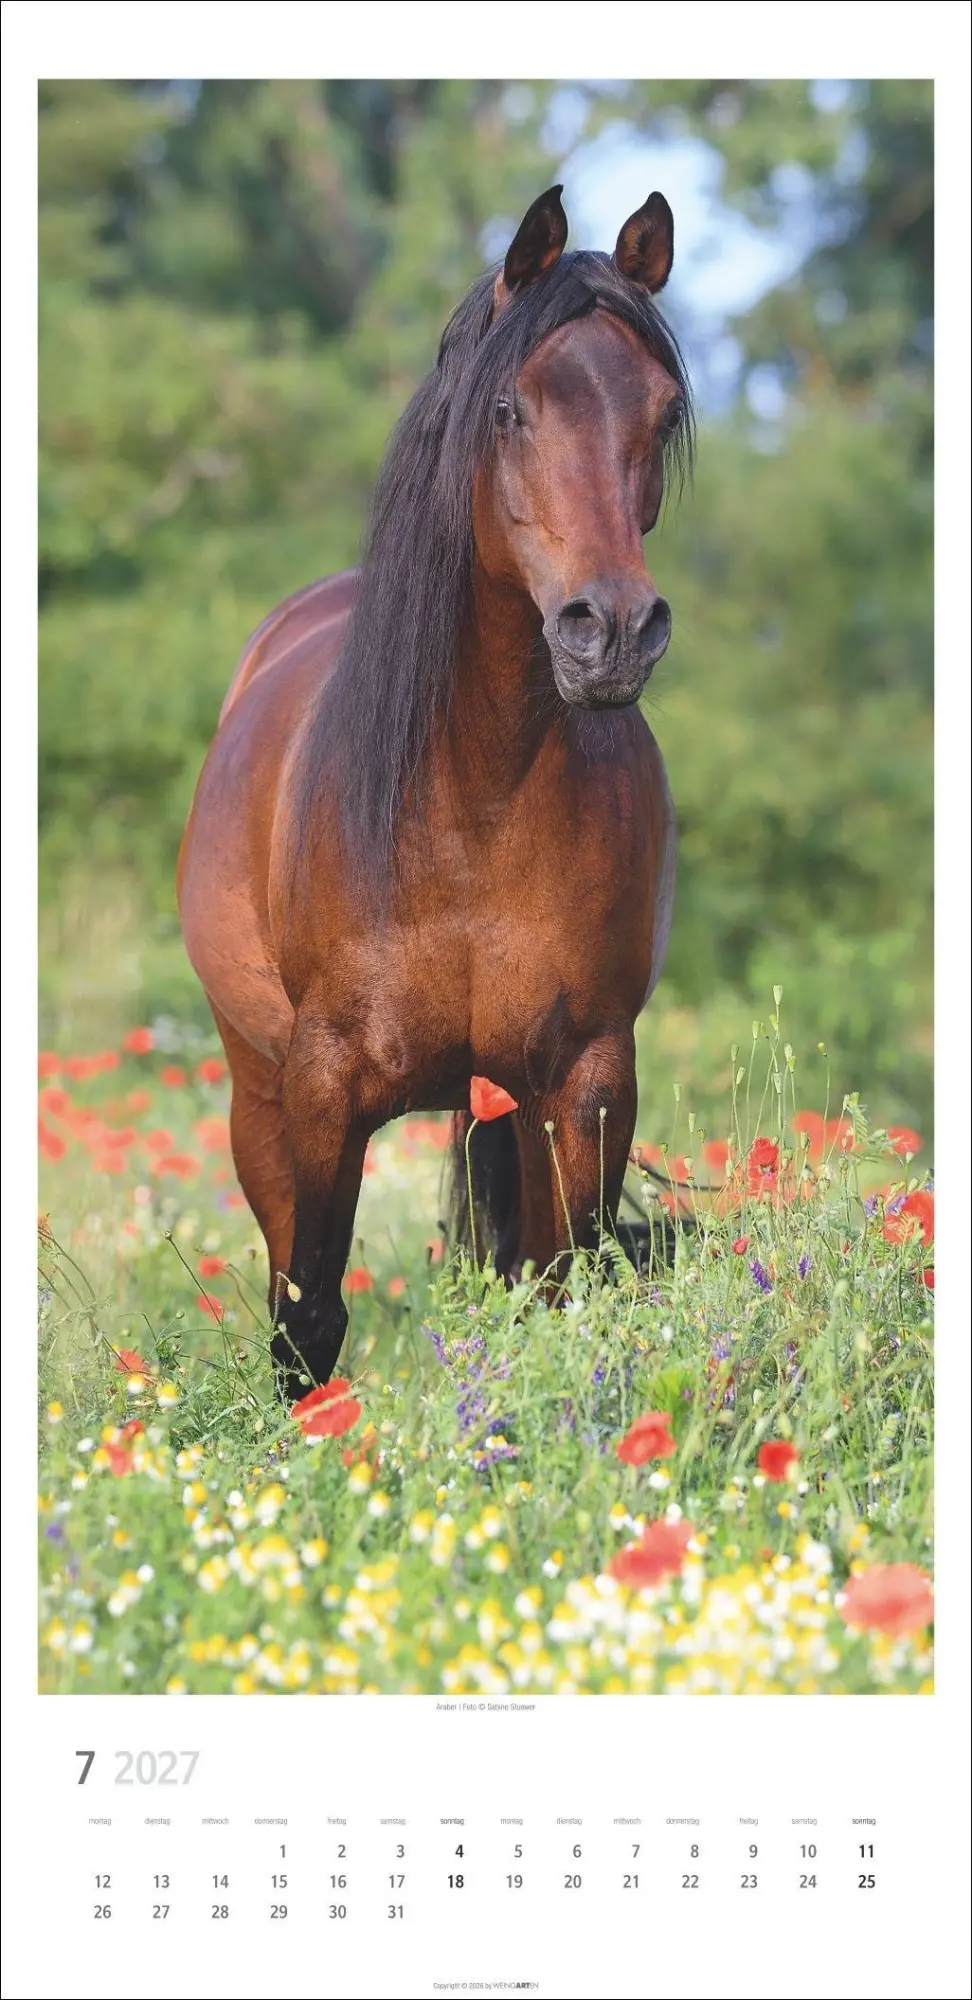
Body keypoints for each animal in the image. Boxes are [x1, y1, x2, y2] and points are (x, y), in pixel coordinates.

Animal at [177, 185, 693, 1398]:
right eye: (509, 408)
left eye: (661, 414)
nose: (613, 632)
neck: (474, 801)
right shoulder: (321, 1092)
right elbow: (309, 1324)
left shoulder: (586, 1080)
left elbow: (557, 1297)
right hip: (256, 1092)